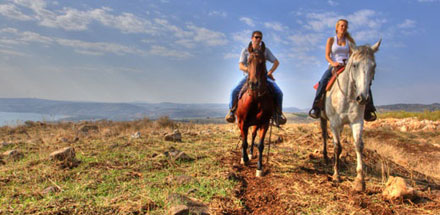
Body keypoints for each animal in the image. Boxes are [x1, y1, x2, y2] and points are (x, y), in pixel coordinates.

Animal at [237, 41, 276, 176]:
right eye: (248, 61)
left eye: (262, 62)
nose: (253, 84)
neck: (255, 99)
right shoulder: (243, 122)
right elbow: (244, 142)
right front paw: (244, 159)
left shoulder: (264, 123)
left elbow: (260, 145)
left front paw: (259, 168)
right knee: (244, 137)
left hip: (255, 124)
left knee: (253, 135)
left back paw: (250, 154)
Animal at [320, 39, 382, 192]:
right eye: (355, 65)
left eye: (374, 66)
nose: (363, 98)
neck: (347, 95)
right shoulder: (334, 123)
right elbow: (337, 146)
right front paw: (336, 175)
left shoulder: (357, 122)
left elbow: (358, 145)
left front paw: (360, 181)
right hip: (323, 118)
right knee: (324, 135)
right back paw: (325, 157)